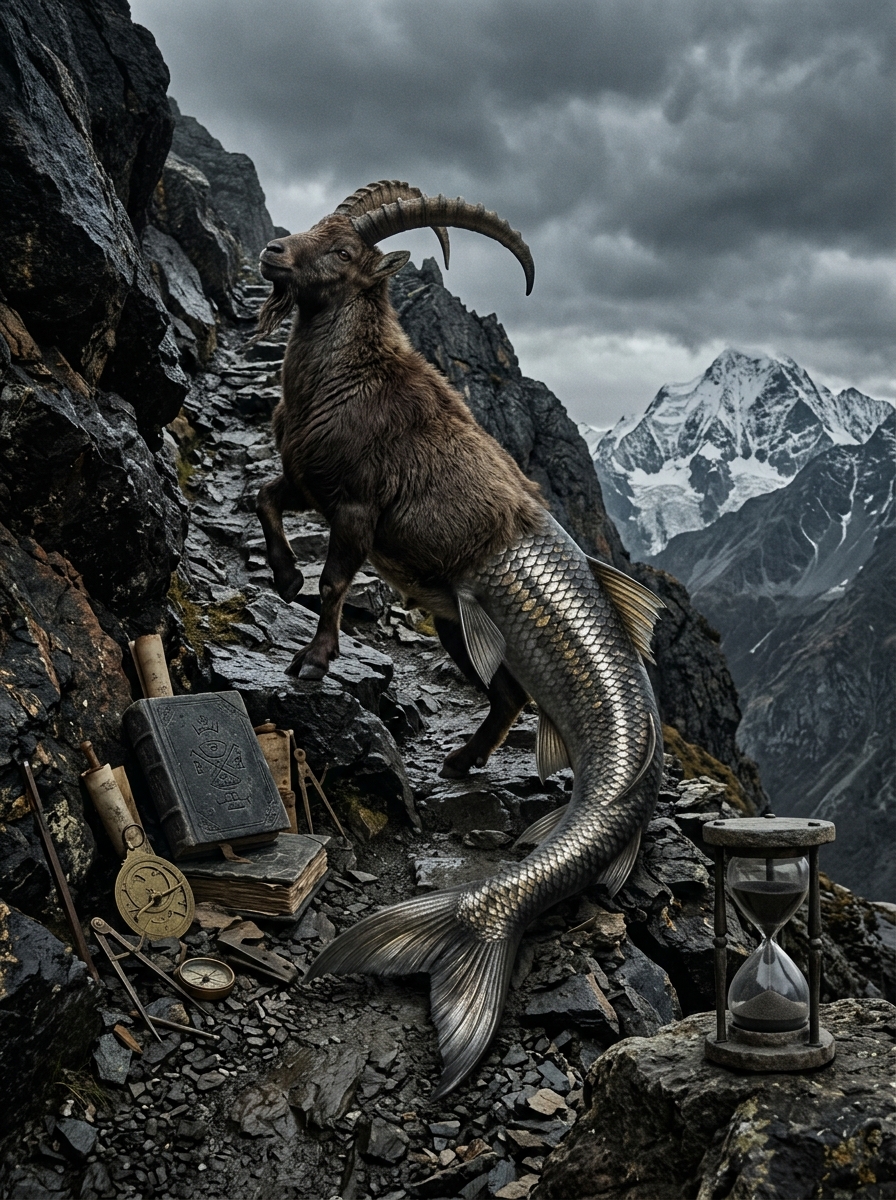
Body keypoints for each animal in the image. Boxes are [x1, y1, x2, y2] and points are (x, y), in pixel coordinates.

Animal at [255, 181, 538, 777]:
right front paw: (285, 578)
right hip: (456, 626)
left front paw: (314, 661)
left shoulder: (358, 505)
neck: (348, 380)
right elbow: (263, 497)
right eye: (316, 227)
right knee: (507, 693)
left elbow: (333, 582)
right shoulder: (309, 481)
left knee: (515, 692)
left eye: (343, 252)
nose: (274, 250)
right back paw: (462, 761)